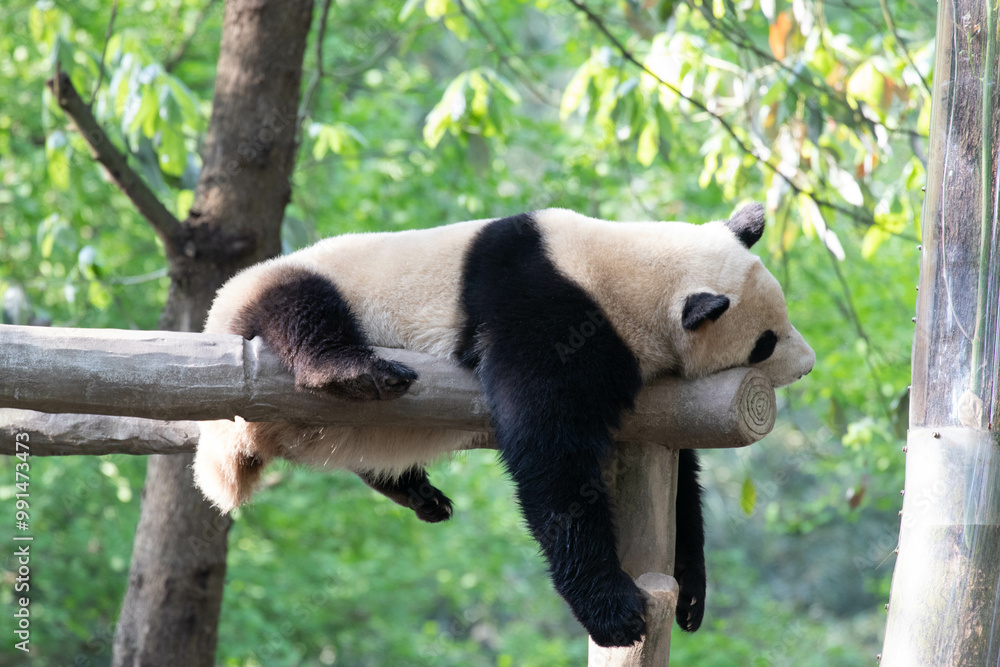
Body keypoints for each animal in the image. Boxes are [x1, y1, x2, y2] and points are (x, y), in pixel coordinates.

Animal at [193, 203, 815, 648]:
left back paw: (417, 491)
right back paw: (352, 371)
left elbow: (679, 474)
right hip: (284, 293)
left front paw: (688, 594)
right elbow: (550, 453)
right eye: (765, 342)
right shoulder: (546, 312)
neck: (624, 271)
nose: (807, 365)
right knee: (302, 308)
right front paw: (615, 612)